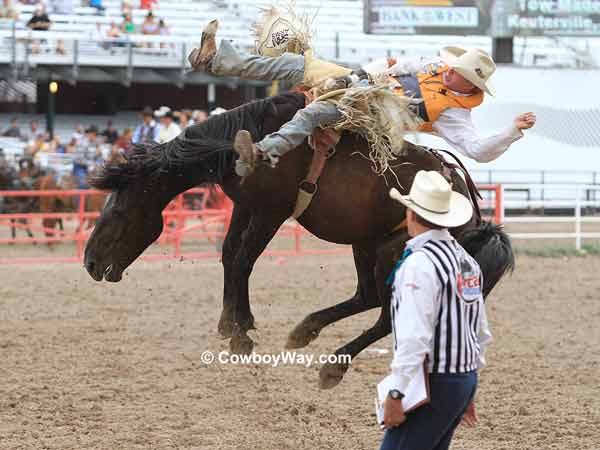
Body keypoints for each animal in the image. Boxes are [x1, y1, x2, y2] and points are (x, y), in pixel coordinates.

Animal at [84, 93, 516, 388]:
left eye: (118, 212)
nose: (89, 263)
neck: (249, 141)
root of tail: (470, 203)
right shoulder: (246, 206)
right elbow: (230, 256)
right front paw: (235, 322)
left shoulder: (271, 212)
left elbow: (243, 260)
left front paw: (239, 335)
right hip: (366, 242)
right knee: (366, 296)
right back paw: (304, 331)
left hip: (394, 250)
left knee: (386, 314)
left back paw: (333, 366)